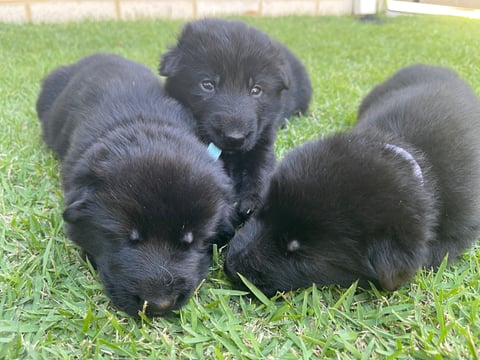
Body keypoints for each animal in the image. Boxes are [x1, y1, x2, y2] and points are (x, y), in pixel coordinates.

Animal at [159, 18, 314, 221]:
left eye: (256, 90)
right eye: (207, 84)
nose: (234, 137)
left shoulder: (263, 139)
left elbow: (260, 169)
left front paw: (251, 201)